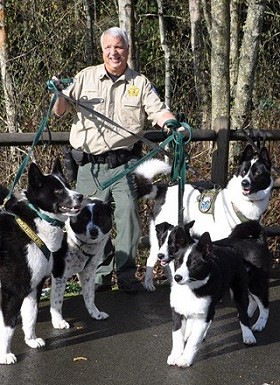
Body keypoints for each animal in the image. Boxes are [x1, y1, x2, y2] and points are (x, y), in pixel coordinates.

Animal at [0, 159, 83, 364]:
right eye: (58, 191)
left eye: (67, 185)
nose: (80, 196)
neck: (33, 225)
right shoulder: (13, 291)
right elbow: (8, 327)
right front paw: (5, 354)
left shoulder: (34, 285)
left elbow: (31, 315)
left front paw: (31, 340)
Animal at [49, 198, 112, 328]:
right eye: (84, 218)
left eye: (100, 217)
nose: (93, 231)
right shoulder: (59, 274)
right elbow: (57, 300)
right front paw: (58, 321)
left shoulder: (88, 273)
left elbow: (89, 296)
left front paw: (96, 314)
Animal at [135, 144, 272, 292]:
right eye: (243, 172)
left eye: (257, 173)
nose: (244, 183)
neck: (243, 202)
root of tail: (164, 191)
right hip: (161, 237)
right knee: (151, 259)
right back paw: (148, 283)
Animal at [162, 219, 272, 366]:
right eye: (178, 262)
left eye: (194, 264)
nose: (177, 277)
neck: (192, 287)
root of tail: (257, 241)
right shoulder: (178, 312)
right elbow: (177, 336)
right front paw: (175, 355)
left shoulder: (203, 315)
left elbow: (193, 341)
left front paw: (185, 359)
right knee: (250, 303)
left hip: (251, 285)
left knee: (261, 305)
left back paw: (254, 329)